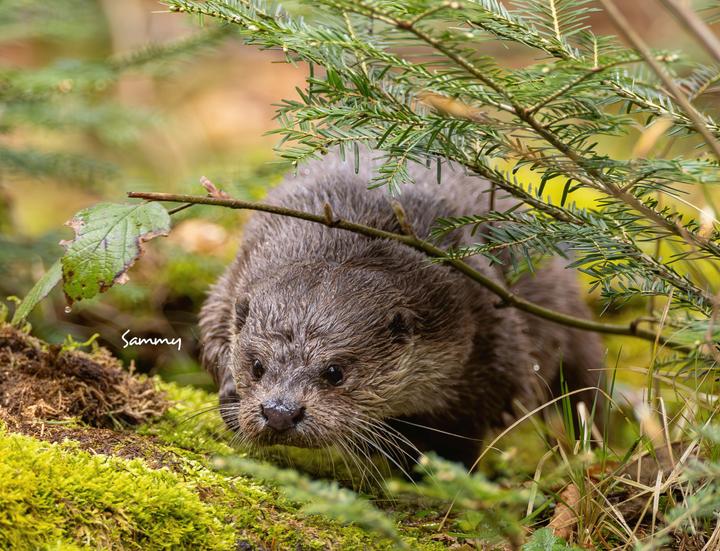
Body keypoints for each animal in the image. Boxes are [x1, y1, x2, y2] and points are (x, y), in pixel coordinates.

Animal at [199, 150, 603, 468]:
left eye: (335, 372)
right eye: (256, 366)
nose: (280, 412)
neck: (352, 233)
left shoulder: (494, 334)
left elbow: (473, 424)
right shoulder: (233, 279)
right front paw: (231, 394)